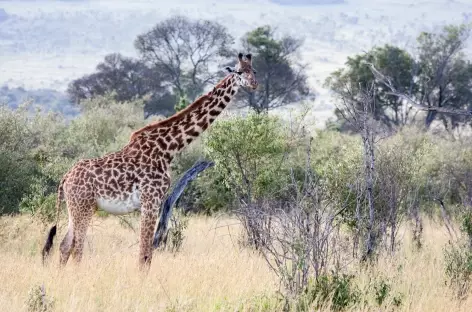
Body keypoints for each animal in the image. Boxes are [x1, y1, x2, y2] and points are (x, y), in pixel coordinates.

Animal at [41, 52, 258, 270]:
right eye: (239, 72)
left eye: (254, 70)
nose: (254, 84)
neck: (168, 148)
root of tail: (65, 178)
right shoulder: (150, 200)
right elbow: (144, 255)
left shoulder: (154, 202)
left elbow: (146, 253)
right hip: (83, 207)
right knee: (77, 249)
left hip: (77, 209)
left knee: (64, 246)